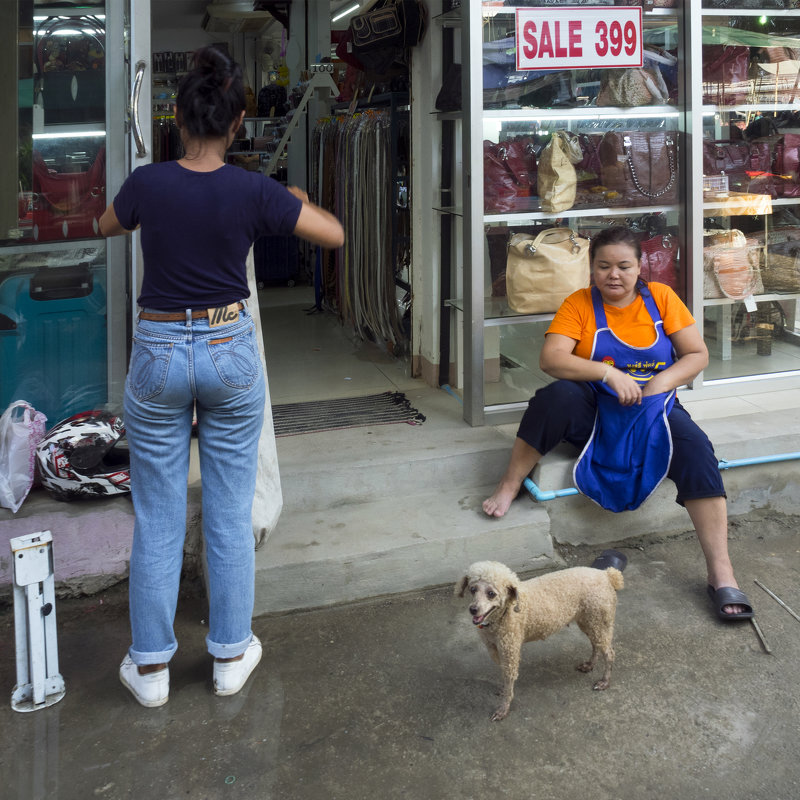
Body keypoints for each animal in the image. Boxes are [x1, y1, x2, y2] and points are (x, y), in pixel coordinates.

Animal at [454, 560, 620, 720]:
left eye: (491, 593)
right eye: (472, 589)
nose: (473, 610)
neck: (505, 614)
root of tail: (606, 575)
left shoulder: (510, 650)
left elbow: (509, 677)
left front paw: (503, 708)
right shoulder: (493, 648)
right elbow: (504, 674)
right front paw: (503, 690)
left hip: (598, 620)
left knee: (609, 653)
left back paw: (604, 682)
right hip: (589, 622)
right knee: (596, 644)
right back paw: (589, 665)